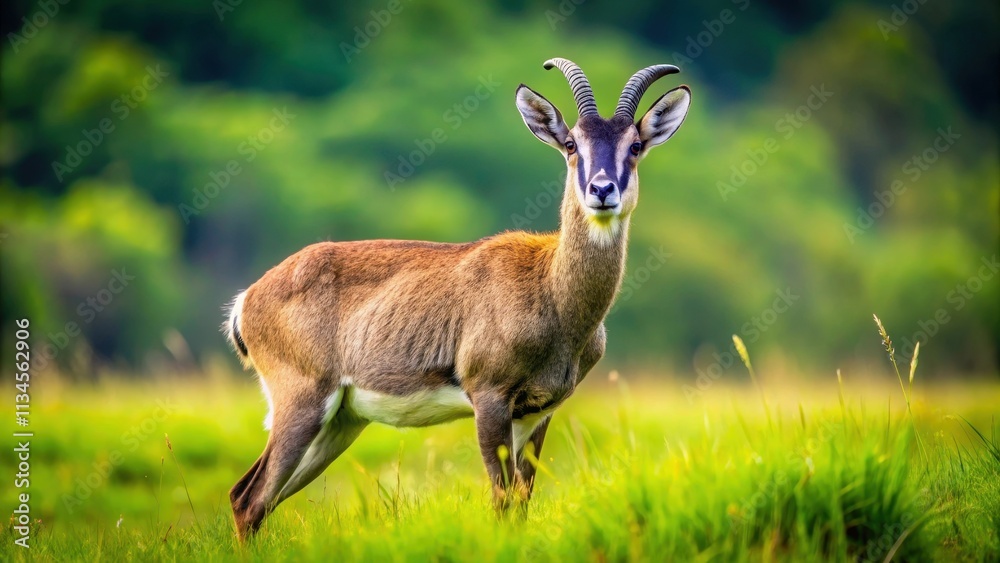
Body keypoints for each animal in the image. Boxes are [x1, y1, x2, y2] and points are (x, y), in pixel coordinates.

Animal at [225, 57, 691, 540]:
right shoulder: (489, 399)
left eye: (634, 145)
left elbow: (521, 503)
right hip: (303, 404)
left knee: (254, 499)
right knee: (250, 497)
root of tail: (248, 299)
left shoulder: (537, 414)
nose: (602, 190)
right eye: (570, 143)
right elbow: (501, 501)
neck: (550, 291)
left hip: (340, 421)